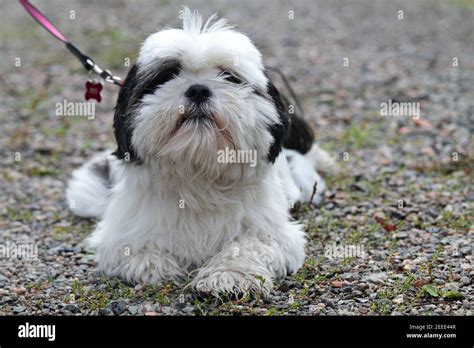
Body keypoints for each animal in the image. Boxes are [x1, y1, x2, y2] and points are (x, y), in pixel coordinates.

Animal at [66, 8, 336, 296]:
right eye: (167, 76)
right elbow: (138, 251)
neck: (199, 175)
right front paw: (159, 265)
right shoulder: (119, 237)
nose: (197, 89)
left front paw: (229, 275)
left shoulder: (277, 235)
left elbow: (249, 245)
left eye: (229, 76)